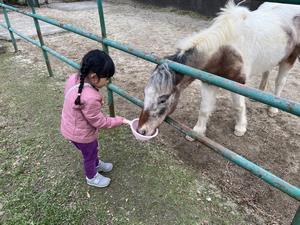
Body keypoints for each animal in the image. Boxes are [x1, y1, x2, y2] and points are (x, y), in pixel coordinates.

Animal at [138, 0, 300, 138]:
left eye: (163, 99)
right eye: (145, 93)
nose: (141, 130)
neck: (223, 51)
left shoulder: (238, 82)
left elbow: (238, 107)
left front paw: (240, 128)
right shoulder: (209, 81)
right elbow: (204, 108)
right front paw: (197, 132)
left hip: (288, 60)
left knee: (280, 82)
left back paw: (273, 109)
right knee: (267, 71)